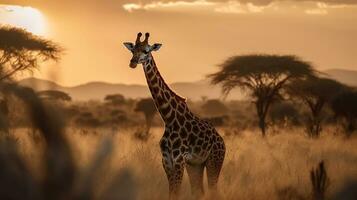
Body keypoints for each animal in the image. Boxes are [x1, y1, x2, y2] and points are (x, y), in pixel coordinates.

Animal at [122, 32, 225, 199]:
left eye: (146, 51)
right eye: (133, 50)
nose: (133, 62)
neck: (168, 118)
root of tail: (222, 141)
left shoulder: (178, 159)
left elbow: (176, 193)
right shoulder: (167, 160)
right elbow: (172, 193)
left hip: (214, 161)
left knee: (213, 190)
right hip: (195, 165)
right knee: (199, 191)